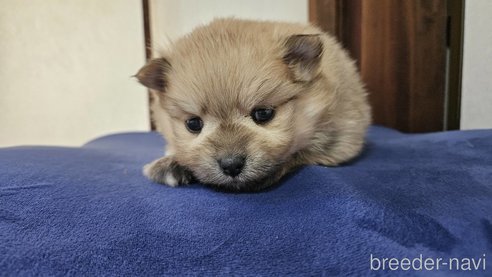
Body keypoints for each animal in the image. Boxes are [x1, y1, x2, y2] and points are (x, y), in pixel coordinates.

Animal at [135, 17, 368, 190]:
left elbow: (300, 152)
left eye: (263, 113)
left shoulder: (338, 139)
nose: (231, 165)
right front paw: (170, 163)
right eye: (193, 124)